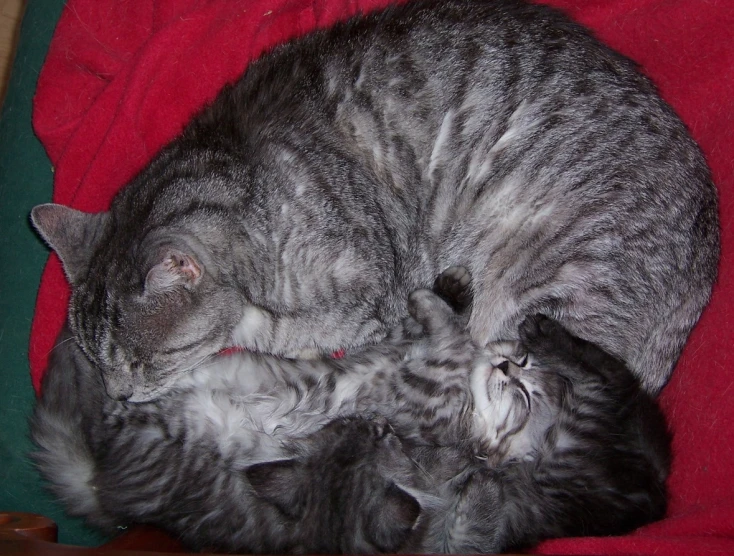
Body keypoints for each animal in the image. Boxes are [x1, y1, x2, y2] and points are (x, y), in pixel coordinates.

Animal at [31, 268, 668, 552]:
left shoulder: (431, 375)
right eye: (522, 380)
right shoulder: (418, 353)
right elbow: (437, 316)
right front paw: (450, 286)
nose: (514, 366)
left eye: (524, 399)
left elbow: (441, 325)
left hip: (589, 430)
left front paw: (436, 294)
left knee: (608, 376)